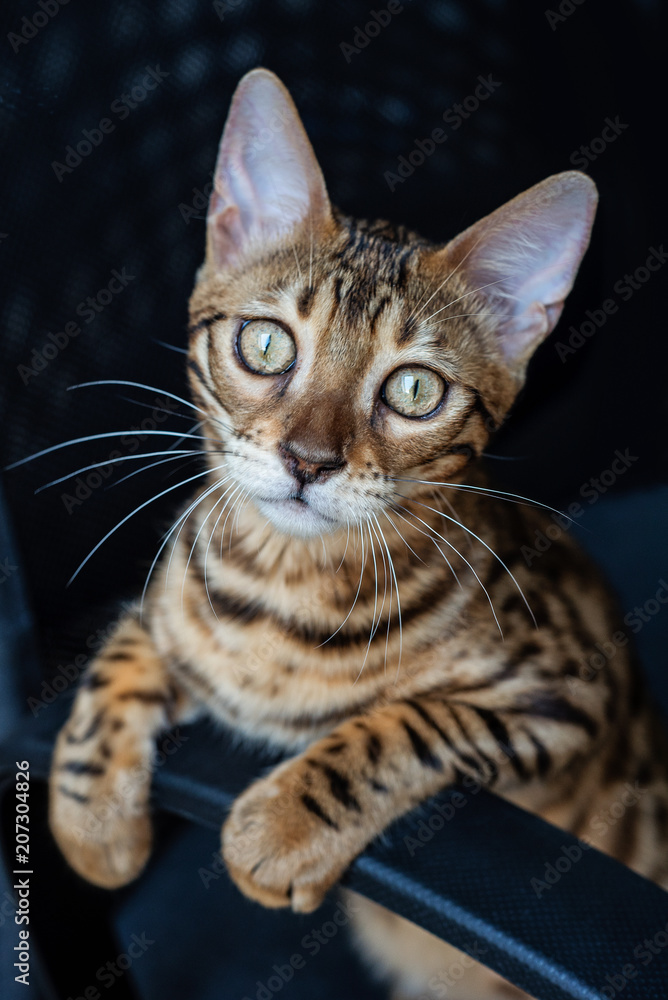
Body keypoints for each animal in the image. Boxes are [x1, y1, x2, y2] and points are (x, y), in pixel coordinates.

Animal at [48, 70, 668, 1000]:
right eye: (265, 343)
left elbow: (406, 727)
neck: (278, 587)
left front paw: (279, 825)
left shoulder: (565, 689)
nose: (308, 460)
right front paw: (92, 820)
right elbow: (121, 655)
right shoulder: (171, 595)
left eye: (414, 390)